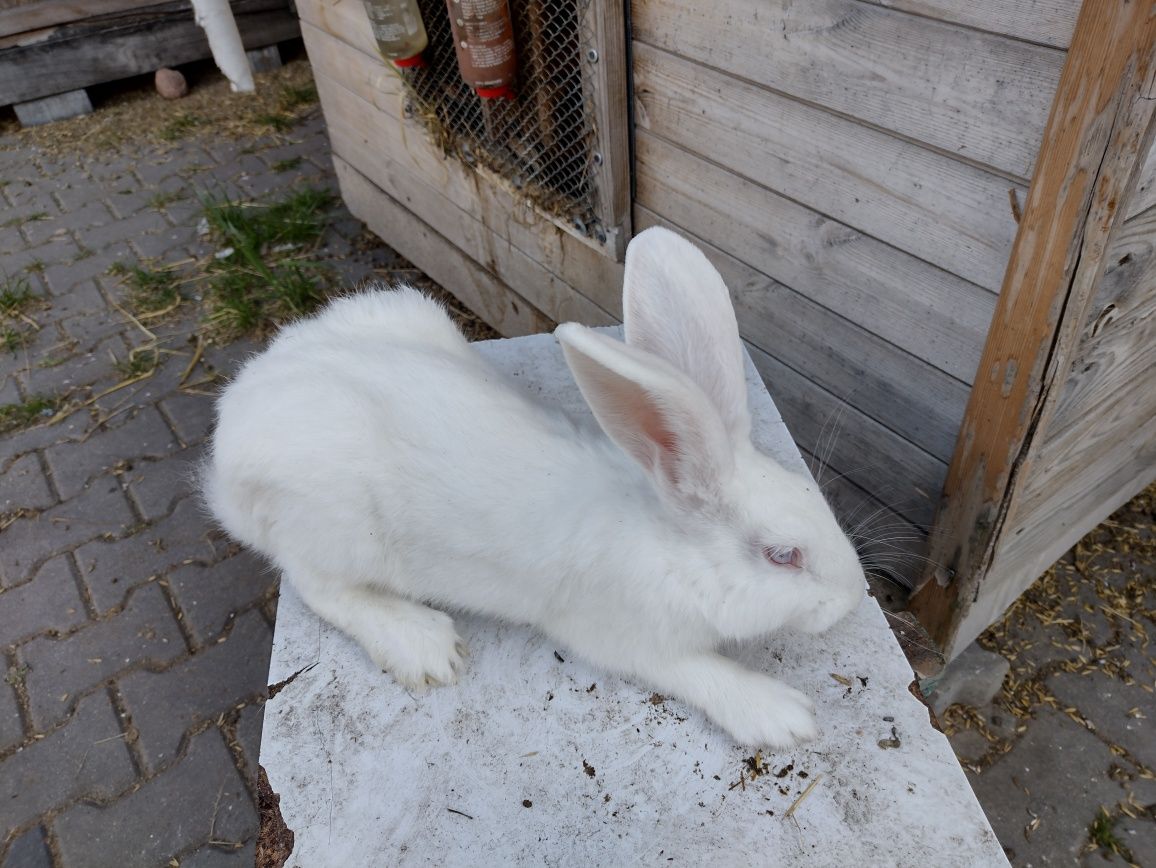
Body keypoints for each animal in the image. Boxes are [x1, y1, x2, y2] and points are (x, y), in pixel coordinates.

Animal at [203, 227, 864, 748]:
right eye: (783, 556)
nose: (854, 598)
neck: (666, 541)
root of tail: (233, 428)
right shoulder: (618, 635)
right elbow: (698, 671)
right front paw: (783, 714)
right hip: (340, 525)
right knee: (317, 585)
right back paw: (423, 644)